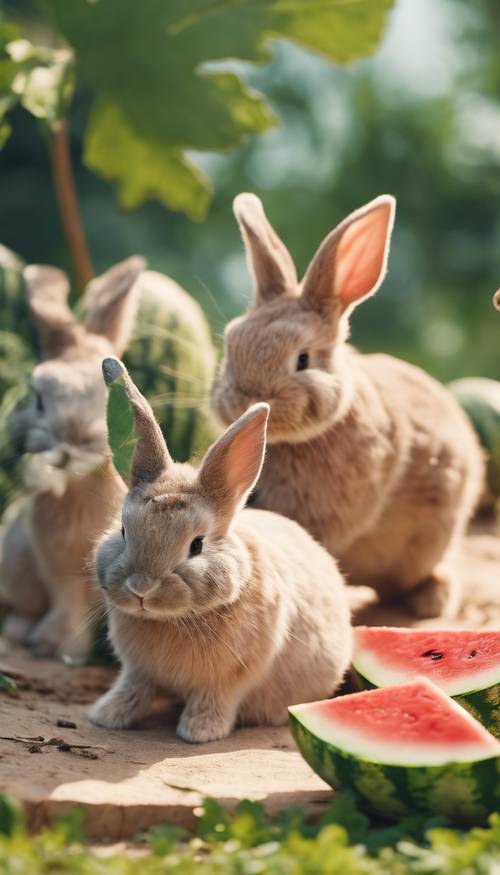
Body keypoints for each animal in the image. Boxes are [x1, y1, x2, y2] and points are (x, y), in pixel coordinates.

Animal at [0, 256, 145, 660]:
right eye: (38, 398)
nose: (72, 441)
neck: (79, 488)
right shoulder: (56, 564)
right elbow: (65, 601)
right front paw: (53, 646)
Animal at [90, 360, 350, 744]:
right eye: (123, 531)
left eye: (197, 545)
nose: (140, 588)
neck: (174, 619)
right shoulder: (138, 670)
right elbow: (133, 687)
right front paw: (107, 716)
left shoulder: (231, 679)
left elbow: (214, 698)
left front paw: (199, 731)